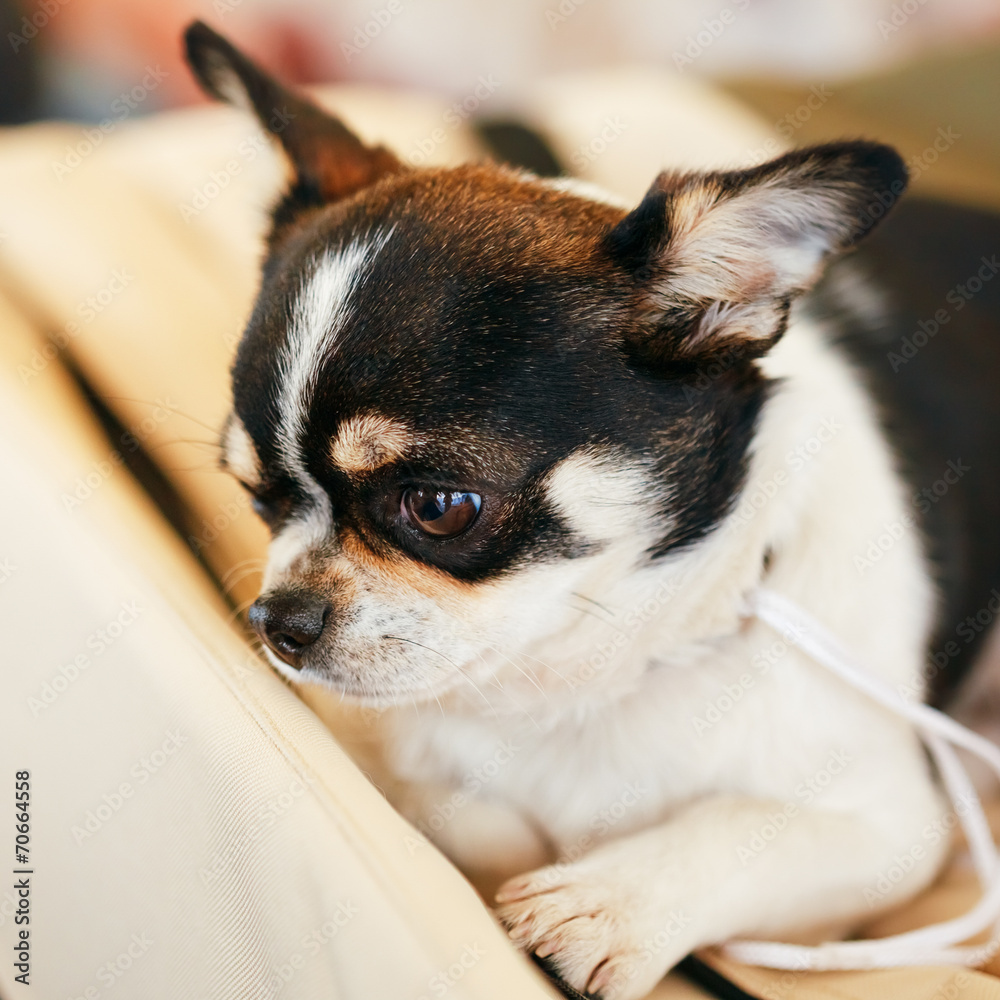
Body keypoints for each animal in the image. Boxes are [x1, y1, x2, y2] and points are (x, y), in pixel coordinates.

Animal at [186, 19, 1000, 996]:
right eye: (254, 493)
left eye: (442, 507)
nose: (280, 619)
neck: (582, 674)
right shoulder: (396, 746)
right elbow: (458, 808)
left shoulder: (890, 828)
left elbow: (740, 832)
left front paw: (604, 905)